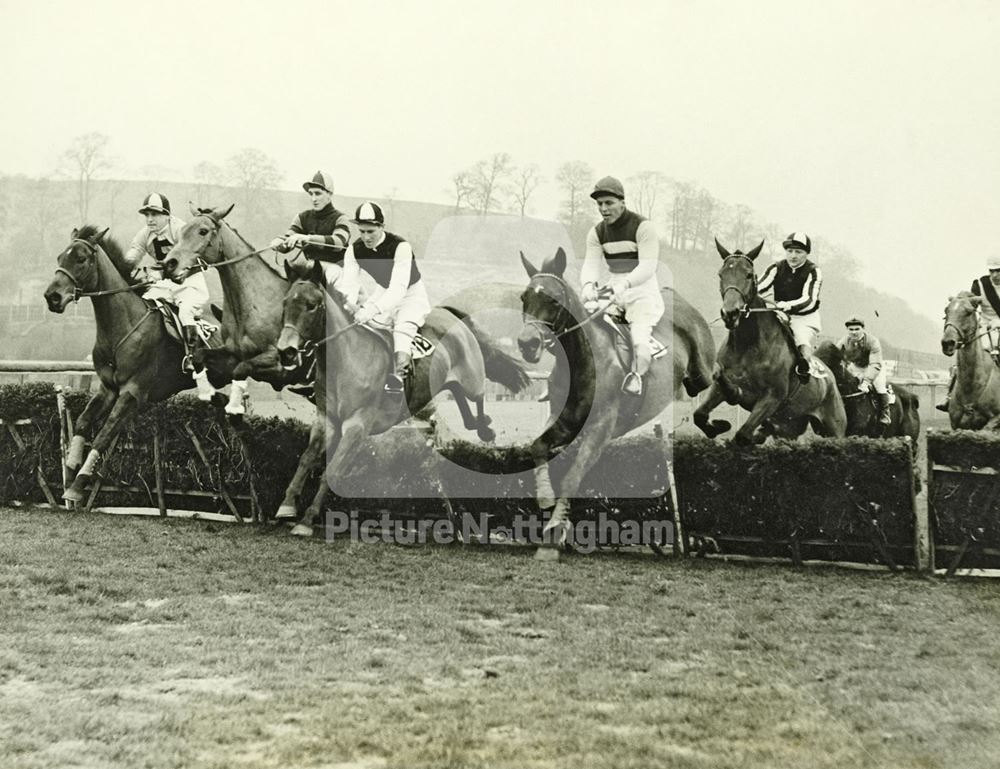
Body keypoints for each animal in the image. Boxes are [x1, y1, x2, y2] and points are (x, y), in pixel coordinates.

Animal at [42, 225, 225, 500]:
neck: (122, 328)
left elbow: (104, 434)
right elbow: (83, 421)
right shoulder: (108, 388)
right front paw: (71, 467)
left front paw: (77, 484)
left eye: (81, 259)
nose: (51, 297)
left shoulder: (132, 392)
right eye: (60, 258)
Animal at [270, 258, 528, 536]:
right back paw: (476, 424)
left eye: (311, 305)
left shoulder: (356, 425)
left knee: (477, 395)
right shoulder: (325, 419)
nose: (286, 351)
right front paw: (286, 507)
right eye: (285, 303)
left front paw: (307, 520)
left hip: (472, 378)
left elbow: (332, 470)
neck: (345, 360)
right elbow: (306, 459)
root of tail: (449, 314)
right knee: (458, 394)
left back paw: (485, 429)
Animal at [516, 249, 720, 544]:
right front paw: (545, 499)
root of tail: (676, 296)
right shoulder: (564, 420)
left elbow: (573, 474)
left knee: (719, 374)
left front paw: (557, 524)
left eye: (554, 300)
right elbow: (538, 446)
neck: (582, 360)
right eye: (524, 298)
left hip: (701, 373)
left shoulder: (602, 427)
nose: (527, 344)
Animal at [692, 240, 848, 444]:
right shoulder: (721, 387)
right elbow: (699, 415)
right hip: (790, 425)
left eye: (749, 275)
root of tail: (830, 378)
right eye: (721, 274)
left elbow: (742, 435)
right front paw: (719, 426)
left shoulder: (772, 398)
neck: (747, 345)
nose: (730, 313)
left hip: (834, 429)